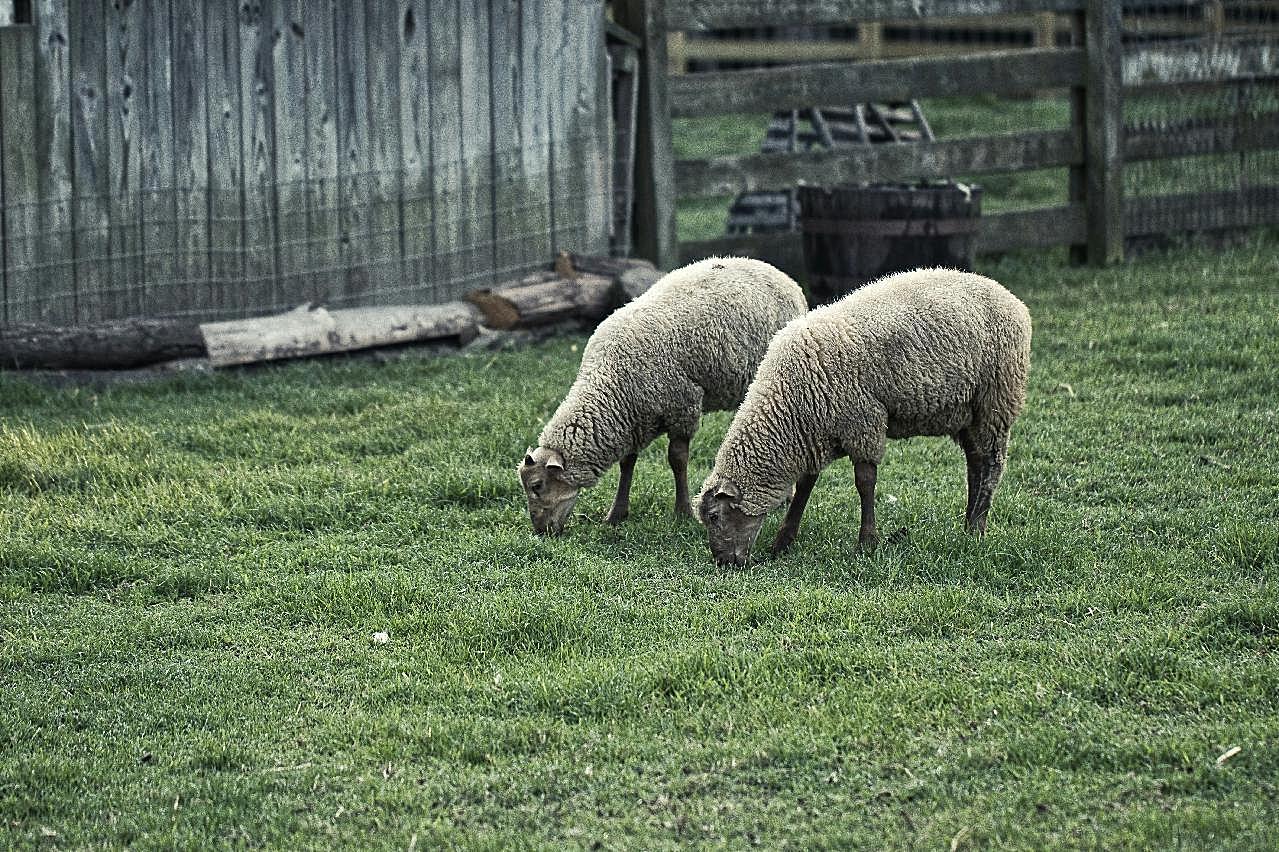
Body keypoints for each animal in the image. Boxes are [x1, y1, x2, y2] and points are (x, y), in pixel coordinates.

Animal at [516, 253, 798, 532]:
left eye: (537, 485)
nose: (540, 531)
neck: (609, 379)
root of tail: (766, 266)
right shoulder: (632, 420)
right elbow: (627, 463)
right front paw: (616, 514)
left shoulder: (682, 407)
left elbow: (677, 459)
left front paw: (683, 512)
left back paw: (787, 497)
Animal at [695, 268, 1033, 562]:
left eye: (714, 516)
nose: (723, 562)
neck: (788, 409)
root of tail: (1014, 301)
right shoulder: (818, 430)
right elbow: (805, 485)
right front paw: (783, 542)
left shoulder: (862, 422)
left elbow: (865, 482)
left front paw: (867, 543)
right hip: (967, 413)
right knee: (975, 464)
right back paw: (968, 525)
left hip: (996, 400)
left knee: (991, 465)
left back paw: (977, 529)